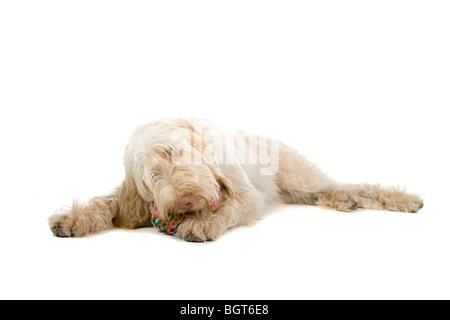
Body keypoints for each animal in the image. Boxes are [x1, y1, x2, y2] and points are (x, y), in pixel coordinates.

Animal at [47, 119, 424, 241]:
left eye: (172, 152)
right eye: (150, 178)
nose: (185, 202)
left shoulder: (246, 195)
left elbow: (230, 208)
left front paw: (202, 224)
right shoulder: (131, 198)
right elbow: (107, 201)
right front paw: (73, 218)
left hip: (299, 175)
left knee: (343, 185)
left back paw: (394, 199)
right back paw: (345, 202)